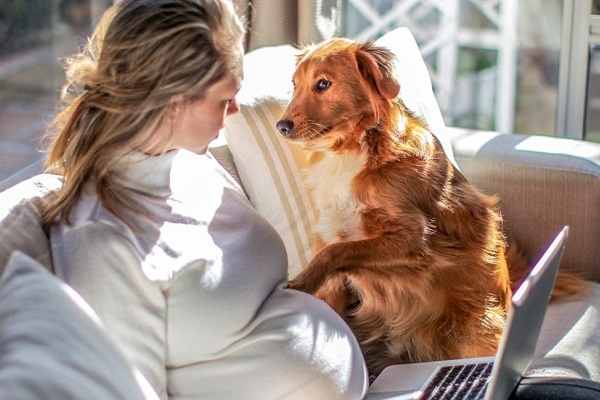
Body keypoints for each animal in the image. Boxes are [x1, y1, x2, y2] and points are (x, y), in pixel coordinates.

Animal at [274, 36, 584, 376]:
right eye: (295, 85)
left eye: (323, 84)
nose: (281, 126)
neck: (356, 147)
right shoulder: (332, 232)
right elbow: (331, 274)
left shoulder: (413, 237)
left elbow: (336, 253)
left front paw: (300, 283)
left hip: (473, 330)